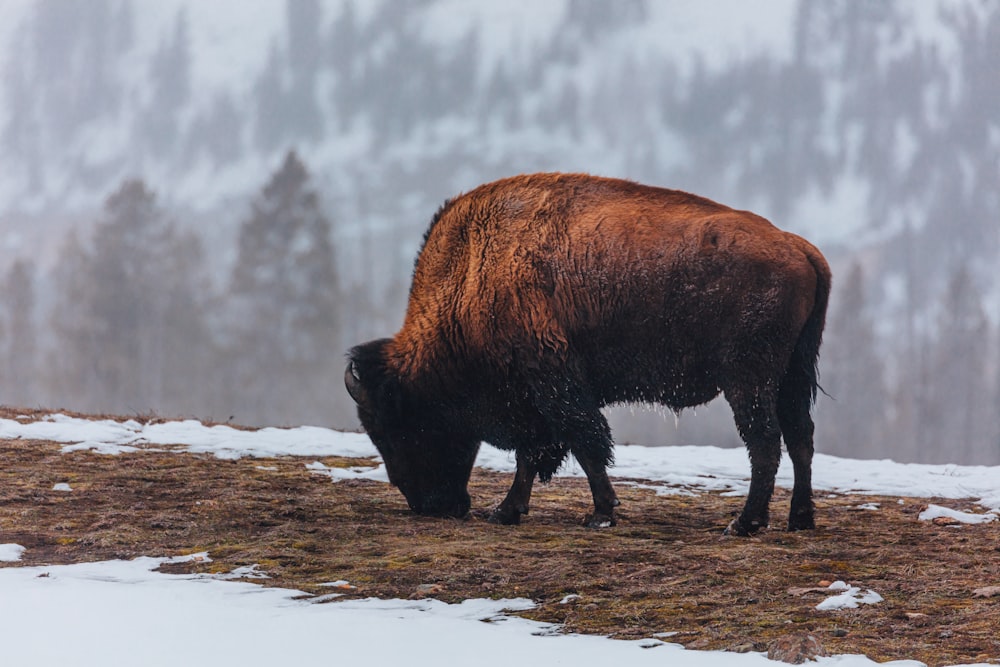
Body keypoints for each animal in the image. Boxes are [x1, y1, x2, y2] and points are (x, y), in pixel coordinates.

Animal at [348, 174, 832, 536]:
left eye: (395, 425)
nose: (430, 505)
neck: (472, 273)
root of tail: (799, 248)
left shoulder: (551, 385)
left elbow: (581, 444)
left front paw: (598, 513)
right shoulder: (540, 398)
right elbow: (538, 454)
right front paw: (508, 511)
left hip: (748, 380)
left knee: (765, 441)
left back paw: (744, 523)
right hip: (791, 374)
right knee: (800, 437)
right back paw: (799, 519)